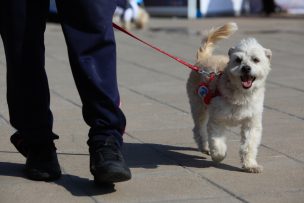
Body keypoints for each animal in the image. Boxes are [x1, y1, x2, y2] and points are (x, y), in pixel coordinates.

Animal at [186, 22, 272, 173]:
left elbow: (249, 146)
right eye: (238, 60)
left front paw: (250, 165)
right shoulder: (217, 120)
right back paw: (205, 147)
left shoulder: (251, 123)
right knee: (199, 129)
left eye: (256, 60)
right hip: (199, 107)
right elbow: (218, 143)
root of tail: (203, 58)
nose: (246, 68)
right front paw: (218, 156)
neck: (240, 94)